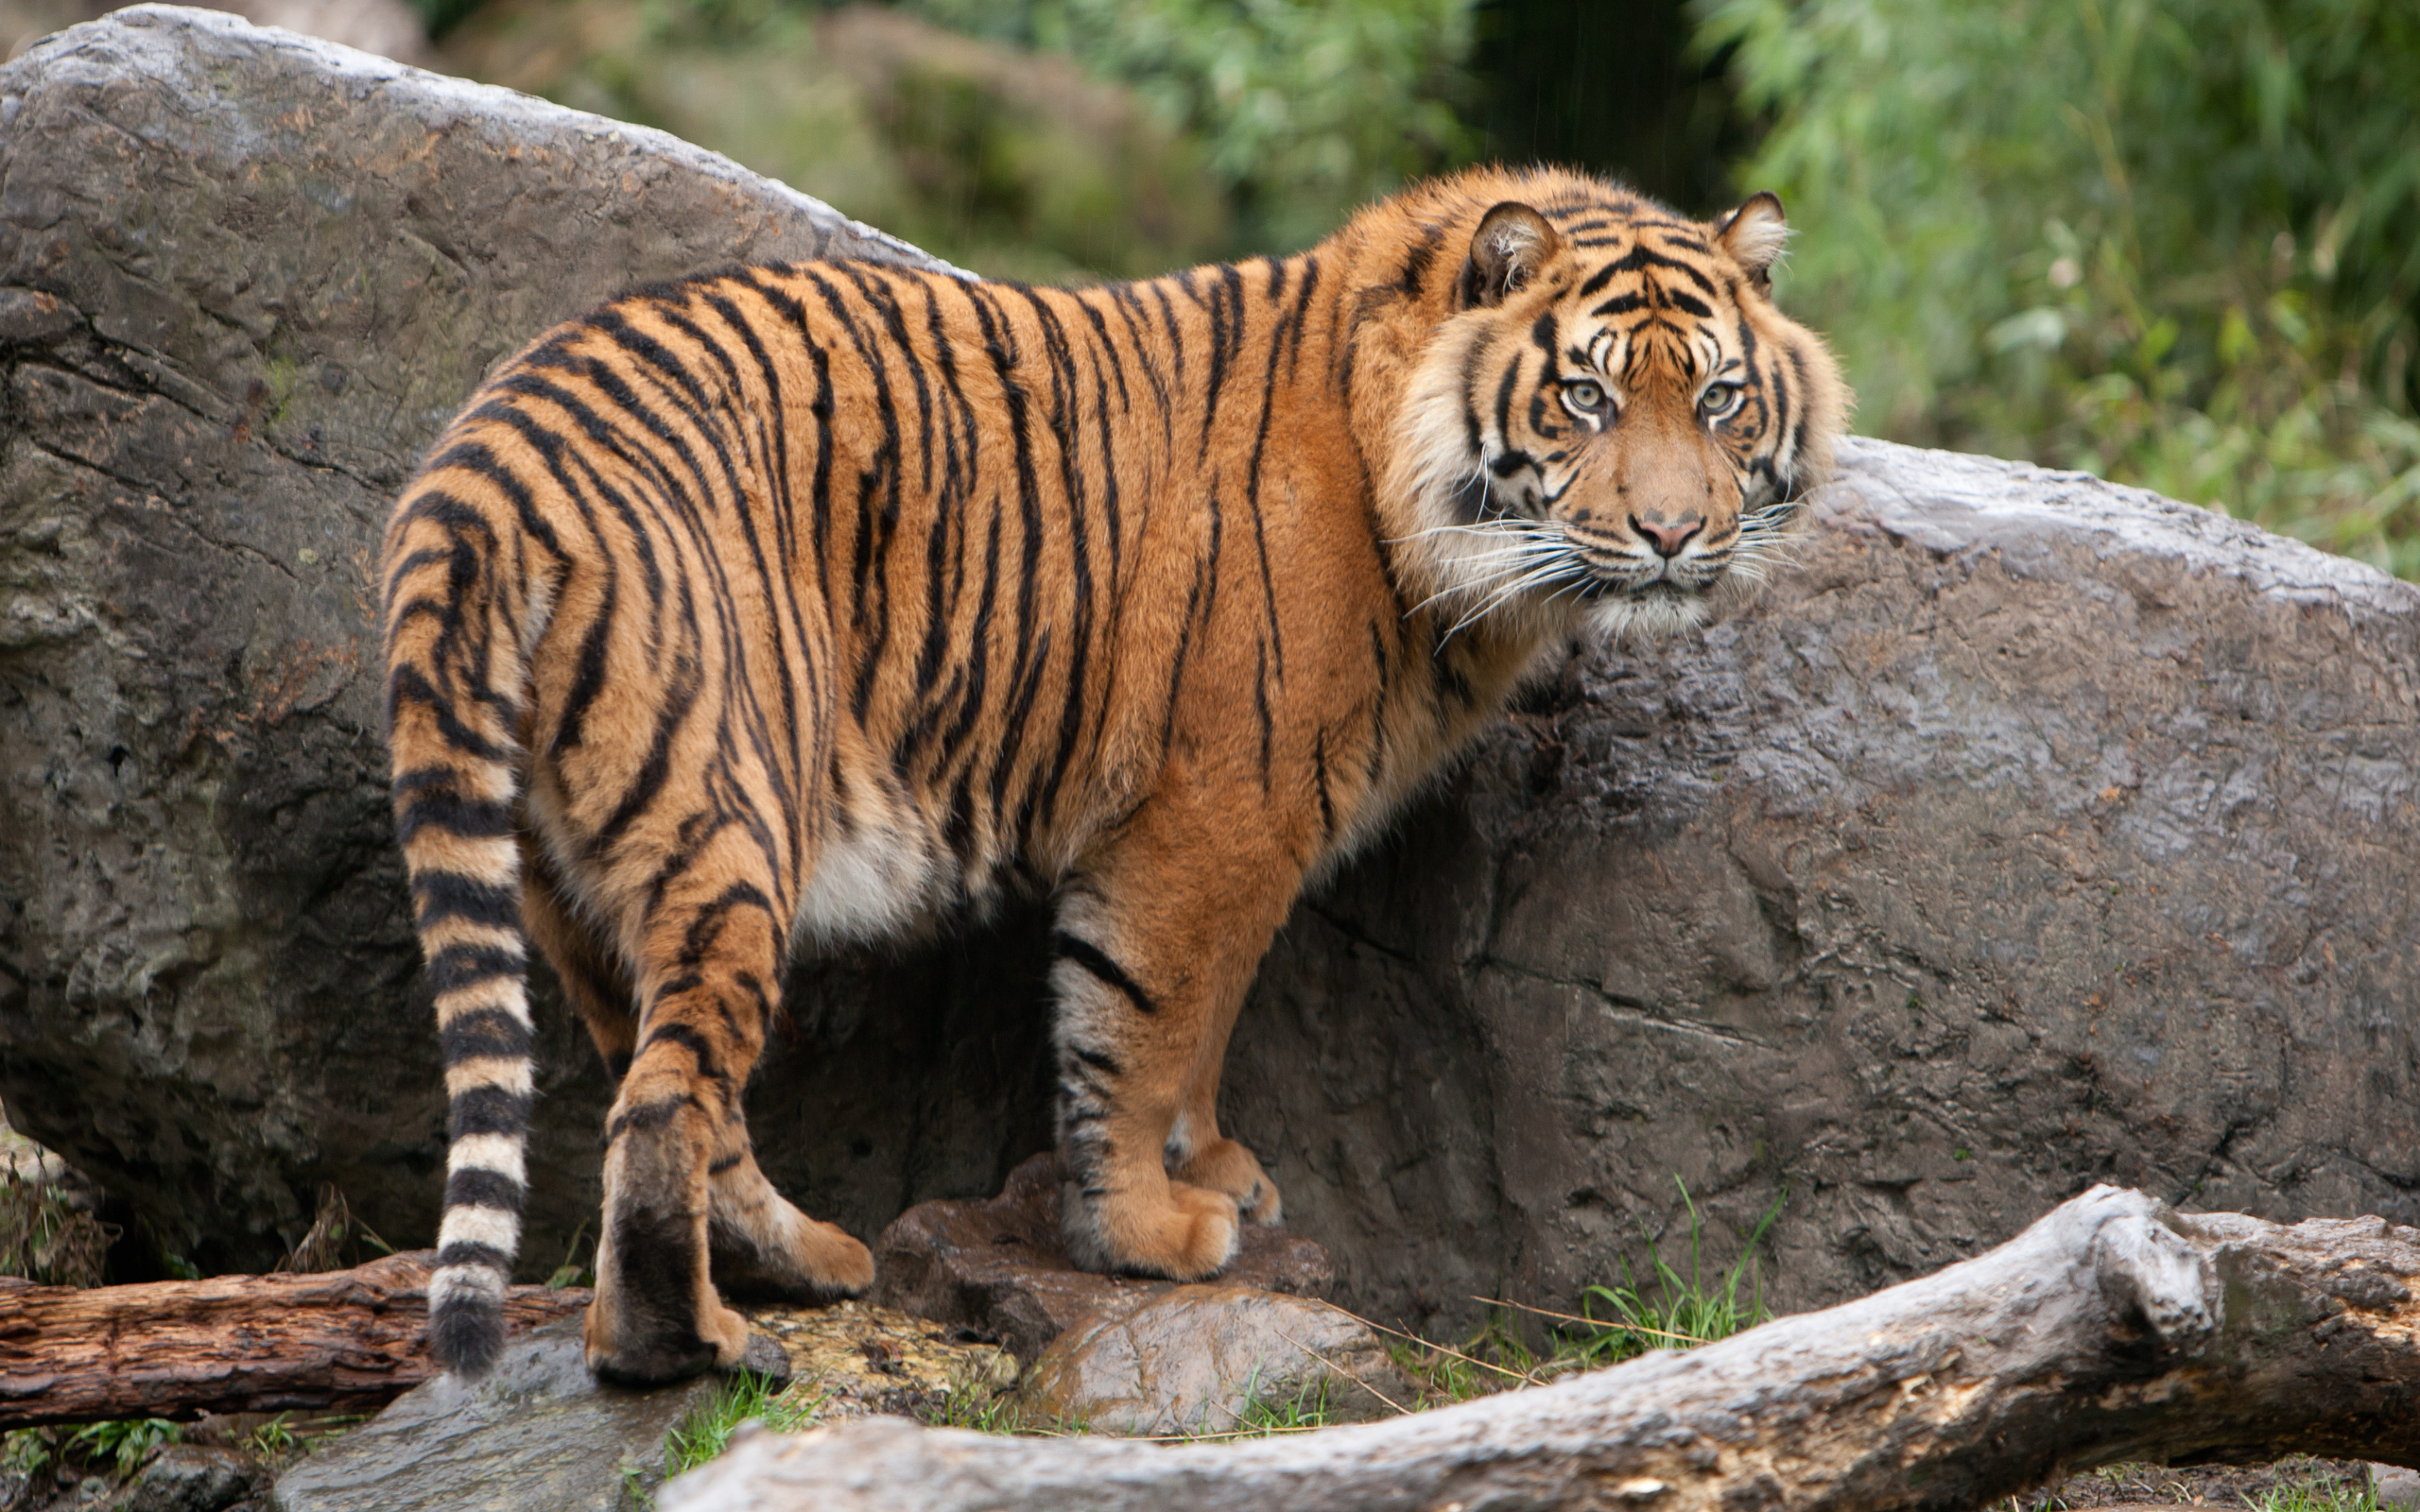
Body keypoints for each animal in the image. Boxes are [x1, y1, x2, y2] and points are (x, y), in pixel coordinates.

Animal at [382, 164, 1848, 1383]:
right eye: (1584, 397)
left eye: (1718, 399)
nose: (1673, 534)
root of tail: (480, 471)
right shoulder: (1211, 816)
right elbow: (1140, 1025)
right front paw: (1147, 1230)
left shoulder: (1260, 832)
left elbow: (1206, 1024)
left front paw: (1215, 1170)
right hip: (730, 815)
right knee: (658, 1106)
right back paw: (686, 1345)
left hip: (573, 876)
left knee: (671, 1083)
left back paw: (801, 1261)